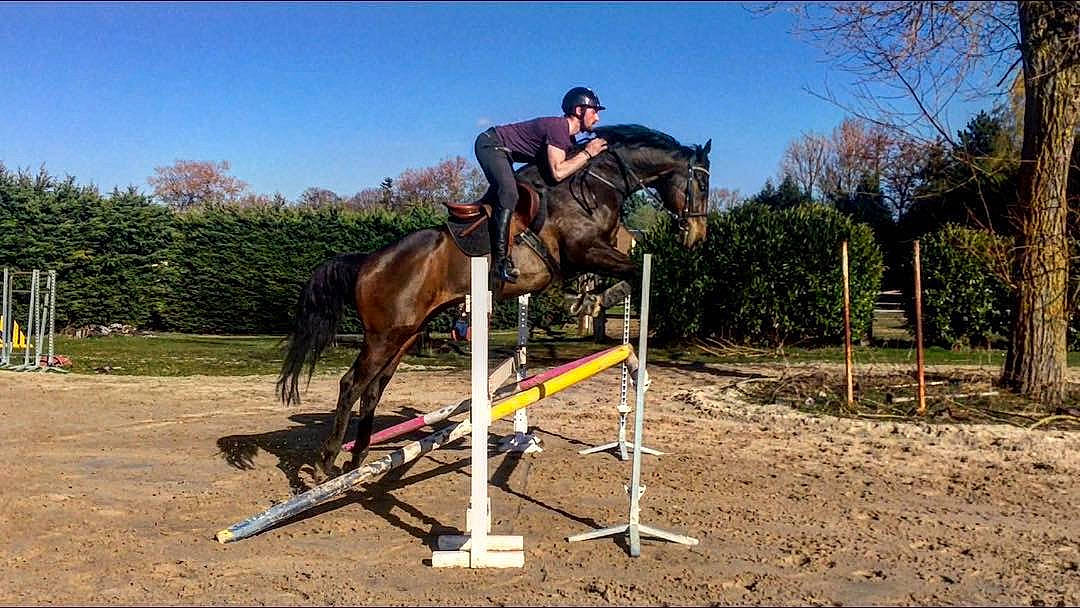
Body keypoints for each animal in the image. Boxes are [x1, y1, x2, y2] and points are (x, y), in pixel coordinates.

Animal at [277, 124, 711, 482]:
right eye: (703, 186)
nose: (697, 236)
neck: (594, 185)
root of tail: (368, 261)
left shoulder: (594, 252)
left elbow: (626, 266)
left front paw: (588, 303)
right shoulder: (583, 250)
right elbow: (633, 271)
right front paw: (589, 303)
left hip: (405, 334)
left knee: (372, 390)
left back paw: (357, 462)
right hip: (384, 335)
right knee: (351, 384)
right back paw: (325, 463)